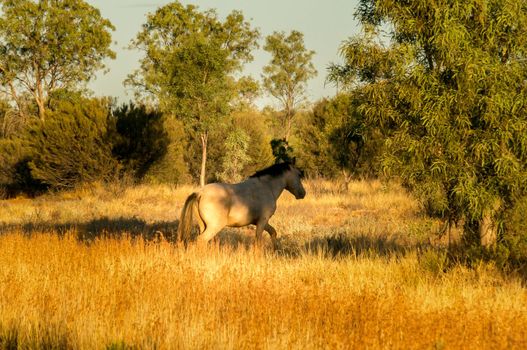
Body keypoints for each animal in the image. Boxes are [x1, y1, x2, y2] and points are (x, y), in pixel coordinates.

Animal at [179, 162, 308, 247]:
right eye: (298, 175)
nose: (303, 193)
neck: (267, 187)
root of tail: (200, 193)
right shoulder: (262, 221)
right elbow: (258, 241)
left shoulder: (261, 222)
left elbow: (273, 233)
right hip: (214, 226)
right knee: (201, 240)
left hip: (203, 225)